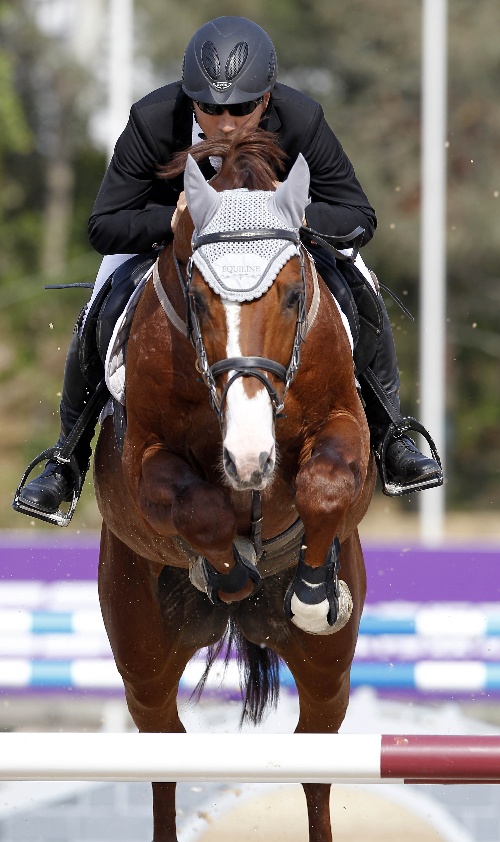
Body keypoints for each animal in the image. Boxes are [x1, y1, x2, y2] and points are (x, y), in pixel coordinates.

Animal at [94, 130, 376, 840]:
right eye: (197, 300)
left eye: (295, 295)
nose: (249, 457)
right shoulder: (143, 463)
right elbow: (199, 509)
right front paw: (227, 569)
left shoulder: (344, 426)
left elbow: (326, 486)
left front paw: (311, 591)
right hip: (141, 650)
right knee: (163, 748)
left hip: (328, 671)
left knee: (315, 756)